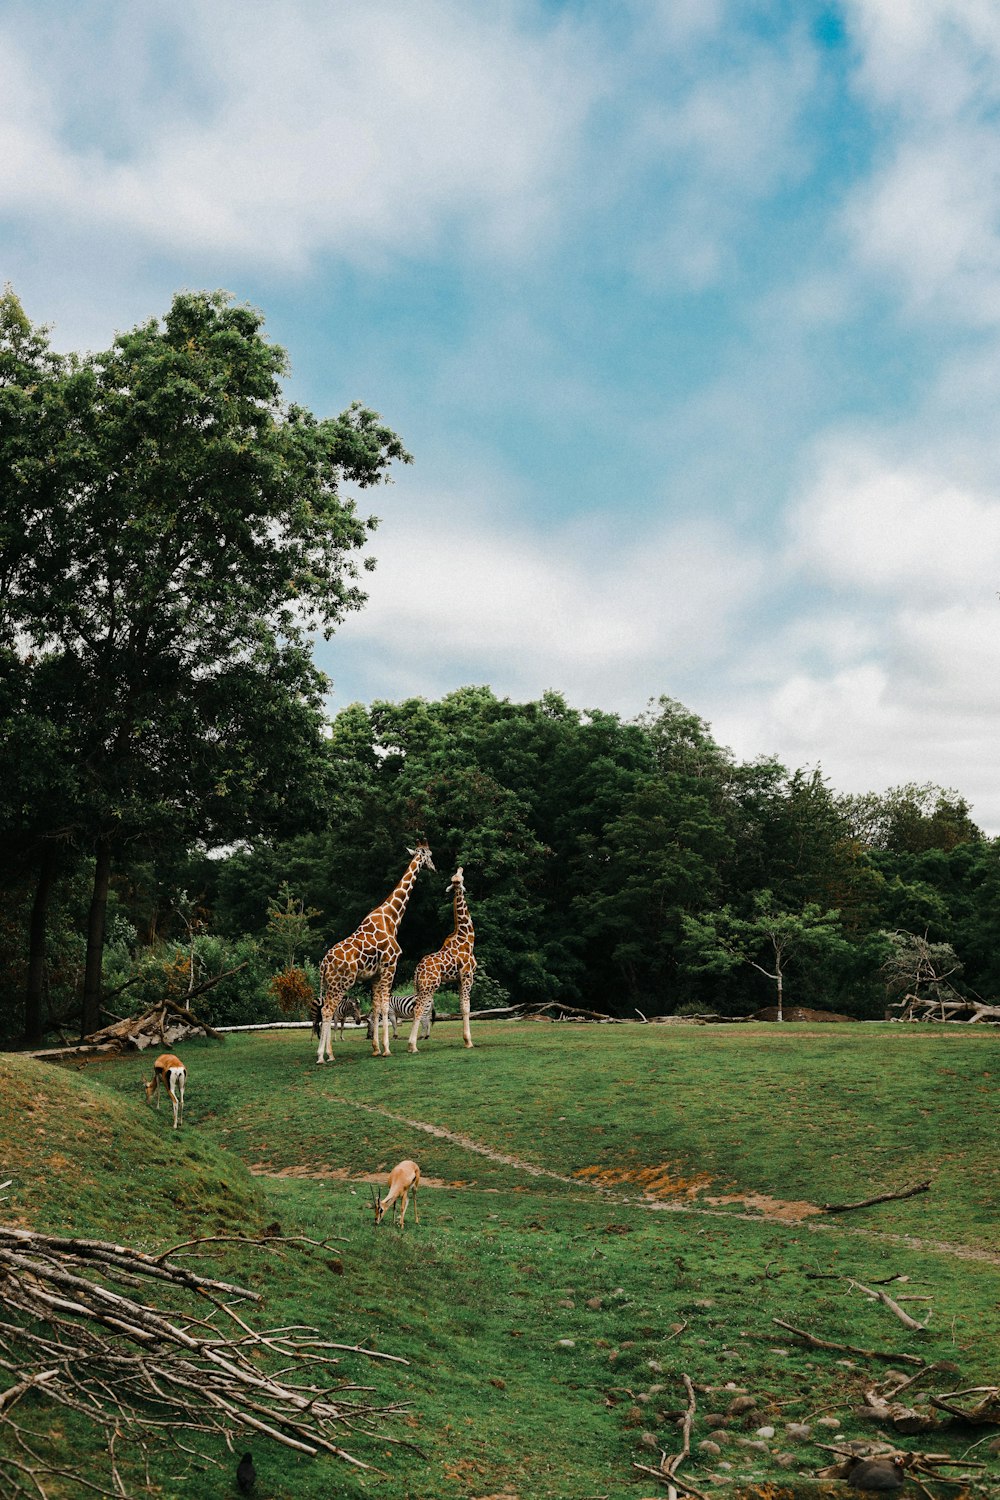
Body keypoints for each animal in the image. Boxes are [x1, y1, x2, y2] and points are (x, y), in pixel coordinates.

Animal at [314, 846, 434, 1068]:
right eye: (429, 856)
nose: (434, 867)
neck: (392, 918)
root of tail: (324, 964)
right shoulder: (390, 966)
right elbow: (386, 1008)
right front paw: (386, 1049)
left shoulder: (375, 975)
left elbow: (376, 1008)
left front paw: (376, 1049)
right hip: (341, 983)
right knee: (327, 1011)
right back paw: (322, 1056)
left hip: (328, 984)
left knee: (326, 1011)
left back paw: (329, 1054)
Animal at [407, 870, 476, 1056]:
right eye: (458, 878)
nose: (461, 869)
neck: (467, 939)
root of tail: (417, 970)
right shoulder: (467, 976)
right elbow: (466, 1008)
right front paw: (468, 1042)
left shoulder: (458, 979)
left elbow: (461, 1006)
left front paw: (466, 1040)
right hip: (430, 986)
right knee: (418, 1009)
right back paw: (412, 1046)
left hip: (420, 986)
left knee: (417, 1010)